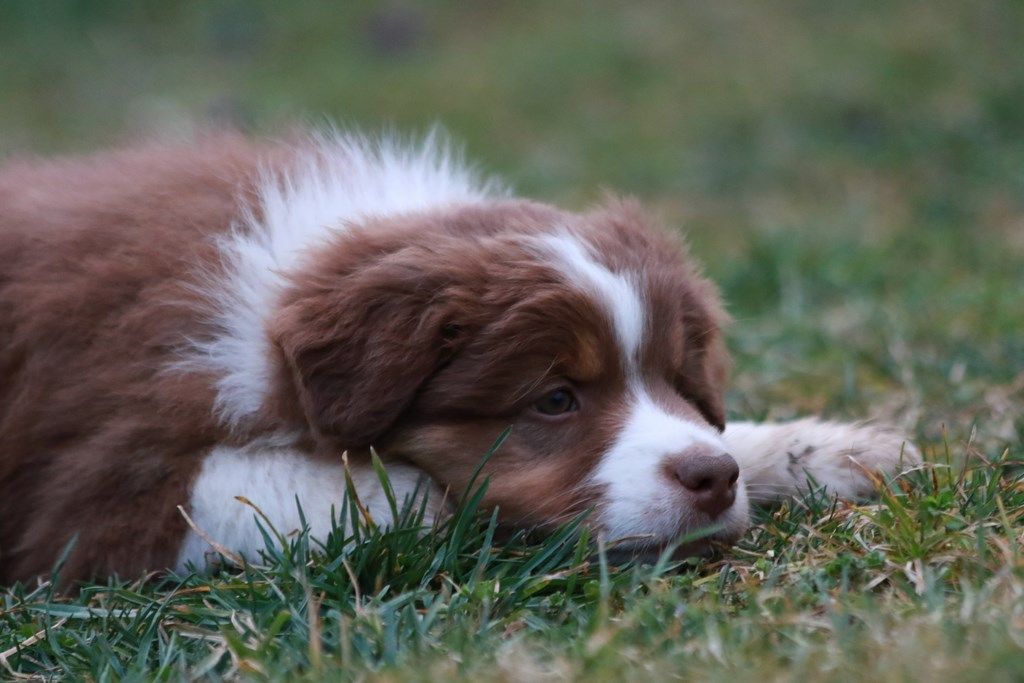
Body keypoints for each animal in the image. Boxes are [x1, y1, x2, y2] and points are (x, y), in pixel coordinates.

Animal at [0, 132, 917, 581]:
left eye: (673, 379)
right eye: (554, 399)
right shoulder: (109, 484)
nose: (710, 480)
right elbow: (404, 496)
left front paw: (838, 450)